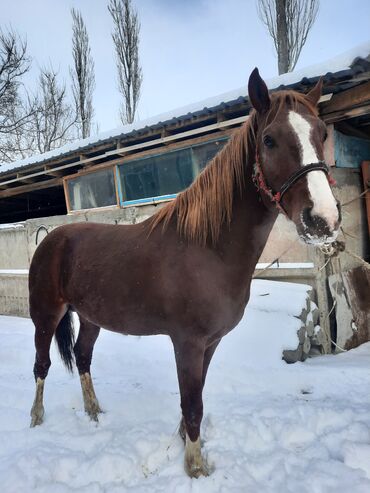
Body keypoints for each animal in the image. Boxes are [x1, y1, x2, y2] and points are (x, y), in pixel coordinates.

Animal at [29, 69, 342, 476]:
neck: (208, 249)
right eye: (269, 140)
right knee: (42, 365)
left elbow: (196, 395)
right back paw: (36, 418)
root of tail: (52, 238)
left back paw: (94, 411)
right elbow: (193, 403)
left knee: (82, 357)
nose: (323, 219)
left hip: (91, 316)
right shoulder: (188, 342)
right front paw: (195, 467)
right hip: (45, 315)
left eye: (322, 133)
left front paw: (186, 444)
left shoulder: (211, 342)